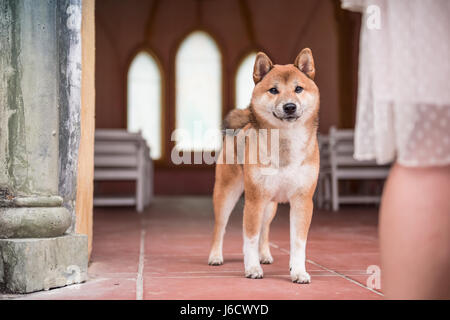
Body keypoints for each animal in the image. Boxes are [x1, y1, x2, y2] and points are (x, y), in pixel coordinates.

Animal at [207, 48, 320, 284]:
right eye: (273, 90)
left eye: (298, 88)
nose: (289, 106)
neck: (284, 144)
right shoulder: (254, 199)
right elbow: (249, 238)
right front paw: (252, 268)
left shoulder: (302, 200)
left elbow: (298, 242)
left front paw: (298, 271)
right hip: (227, 194)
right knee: (220, 227)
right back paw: (215, 256)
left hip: (270, 205)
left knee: (265, 228)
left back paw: (265, 254)